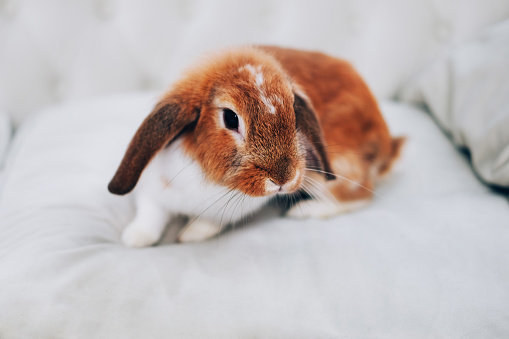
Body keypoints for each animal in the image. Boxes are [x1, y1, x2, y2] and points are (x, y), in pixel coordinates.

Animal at [109, 45, 402, 247]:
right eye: (230, 118)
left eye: (294, 112)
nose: (283, 178)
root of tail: (387, 145)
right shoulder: (152, 191)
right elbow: (150, 215)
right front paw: (135, 239)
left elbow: (207, 222)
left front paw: (188, 235)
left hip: (330, 174)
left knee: (358, 195)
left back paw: (305, 211)